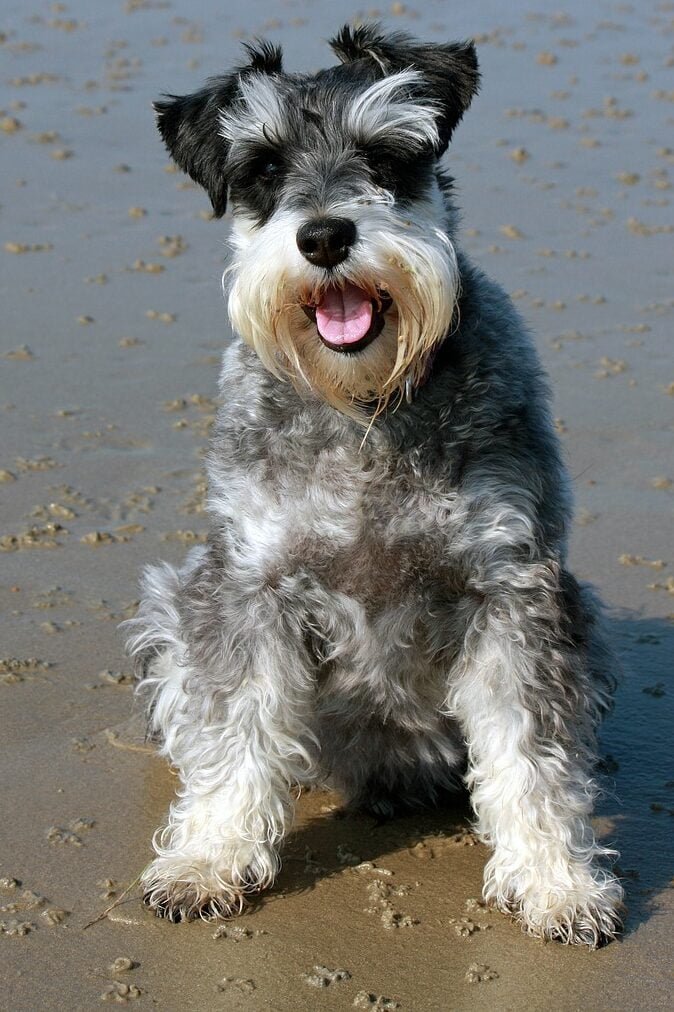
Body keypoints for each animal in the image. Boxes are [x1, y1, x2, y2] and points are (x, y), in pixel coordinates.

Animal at [124, 21, 619, 947]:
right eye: (264, 168)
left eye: (387, 156)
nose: (324, 236)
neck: (364, 410)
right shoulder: (249, 590)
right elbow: (233, 730)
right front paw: (207, 859)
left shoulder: (512, 591)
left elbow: (531, 755)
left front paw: (557, 883)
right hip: (174, 601)